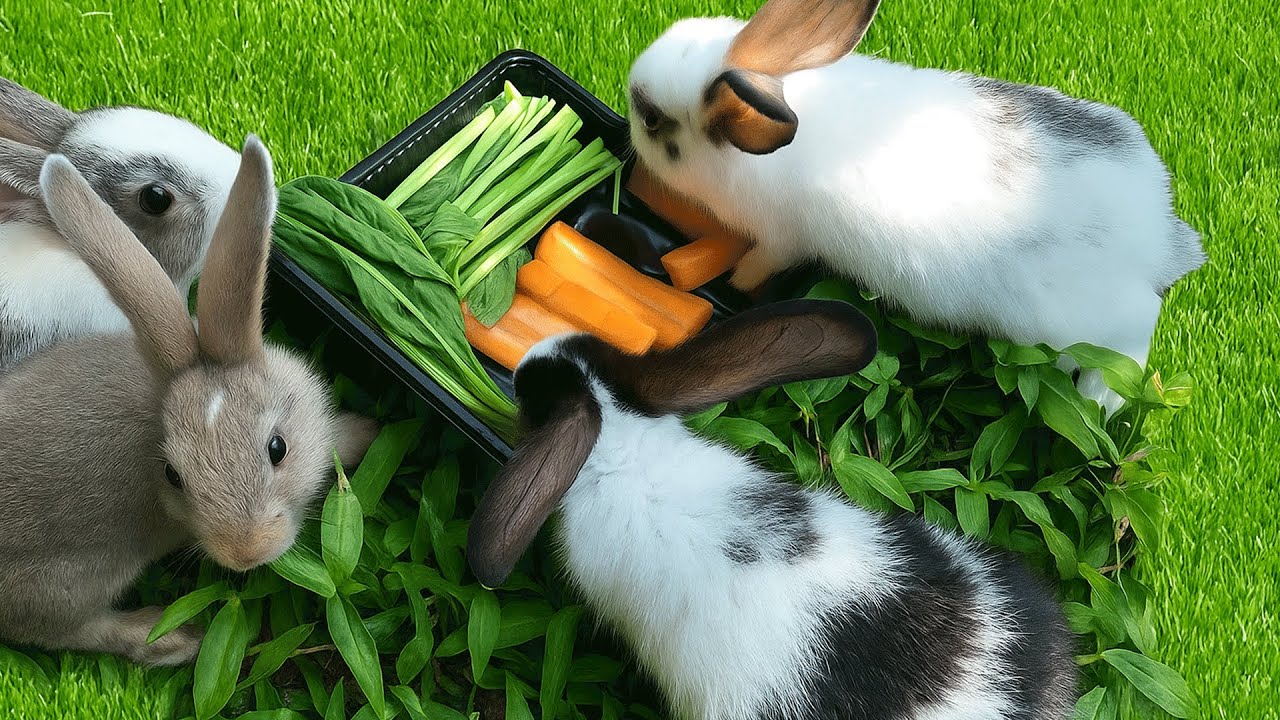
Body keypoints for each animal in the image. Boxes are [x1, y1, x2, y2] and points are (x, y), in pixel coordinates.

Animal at [0, 136, 378, 665]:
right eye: (173, 476)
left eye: (277, 448)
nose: (246, 552)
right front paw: (368, 432)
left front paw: (367, 429)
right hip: (64, 590)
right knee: (77, 632)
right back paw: (177, 638)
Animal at [625, 0, 1205, 416]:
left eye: (651, 119)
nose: (629, 96)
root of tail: (1157, 235)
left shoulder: (782, 241)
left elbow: (757, 266)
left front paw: (738, 285)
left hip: (1084, 321)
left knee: (1135, 332)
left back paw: (1100, 398)